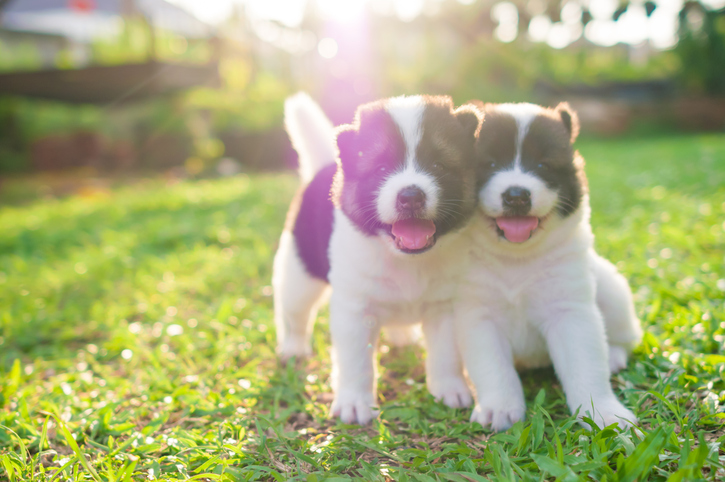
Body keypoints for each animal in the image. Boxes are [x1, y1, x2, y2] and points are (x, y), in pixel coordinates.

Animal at [272, 92, 480, 424]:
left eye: (438, 164)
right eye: (381, 169)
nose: (411, 196)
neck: (407, 260)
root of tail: (326, 165)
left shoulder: (445, 307)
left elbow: (446, 353)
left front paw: (449, 389)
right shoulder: (355, 311)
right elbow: (356, 362)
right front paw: (355, 403)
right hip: (299, 271)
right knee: (294, 312)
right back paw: (293, 347)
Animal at [456, 102, 640, 434]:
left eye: (543, 166)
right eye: (489, 164)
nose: (516, 195)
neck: (515, 259)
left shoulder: (570, 312)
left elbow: (586, 366)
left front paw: (604, 413)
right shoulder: (478, 316)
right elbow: (493, 368)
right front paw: (500, 408)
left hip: (611, 288)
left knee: (626, 336)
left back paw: (614, 356)